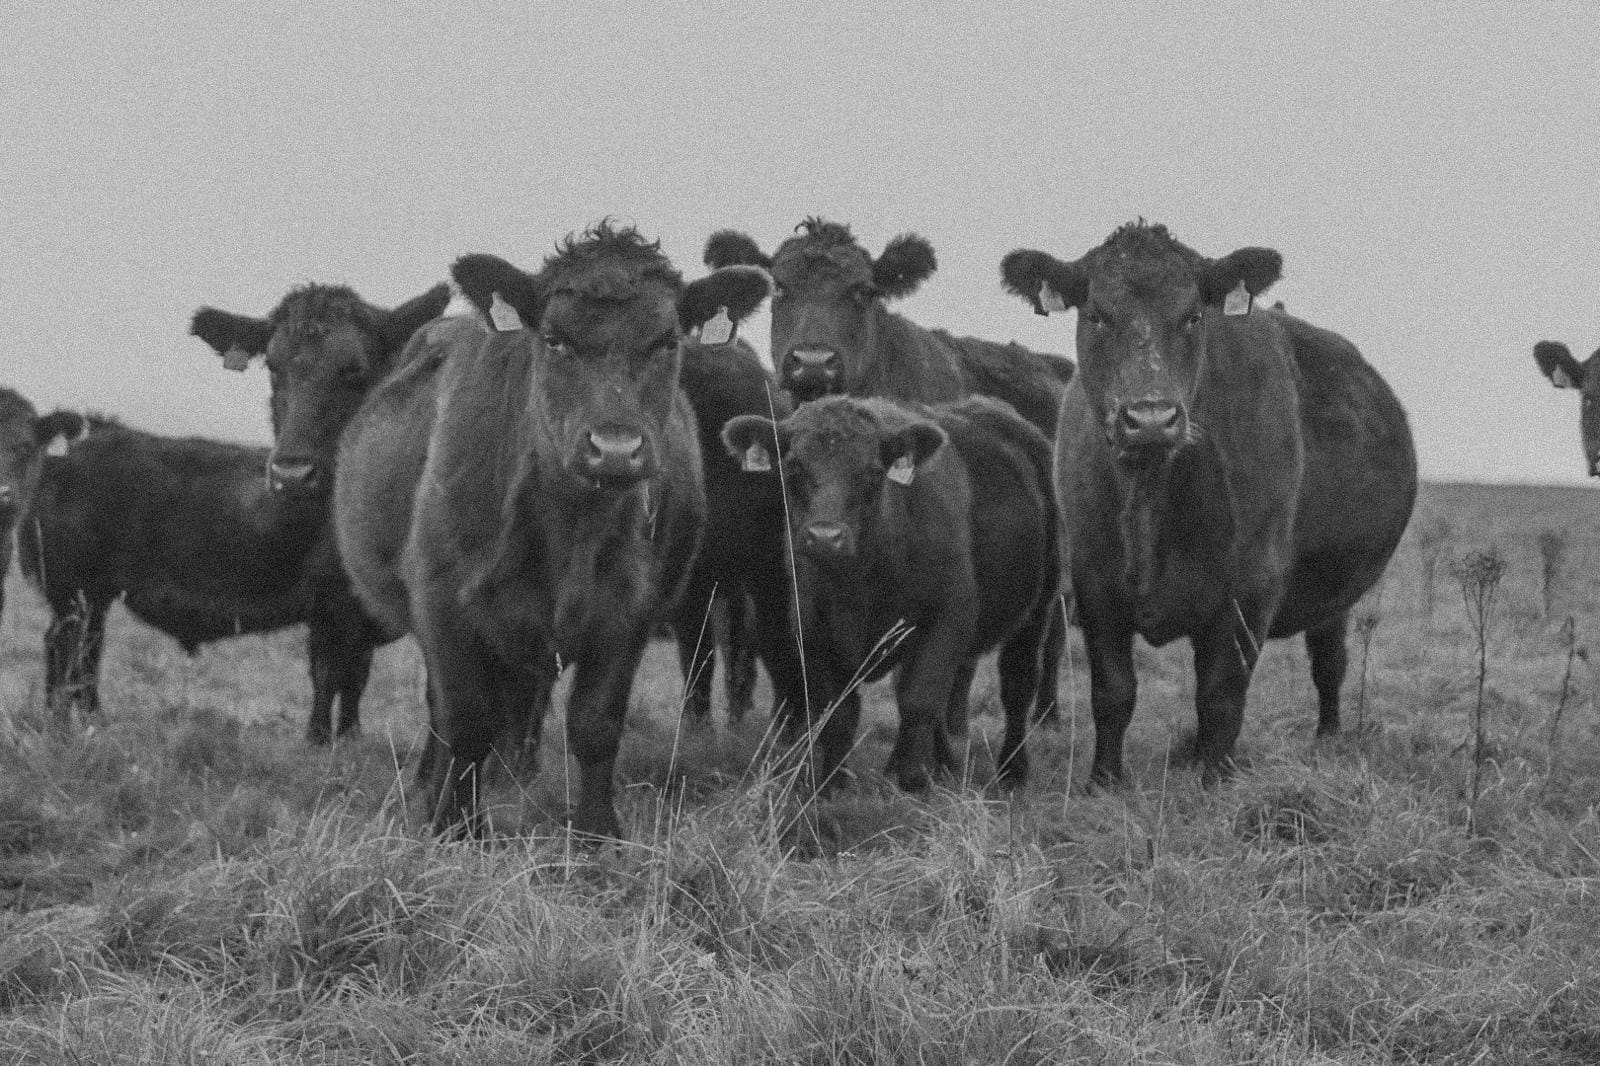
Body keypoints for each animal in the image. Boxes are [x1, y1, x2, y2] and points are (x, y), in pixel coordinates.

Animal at [19, 283, 447, 738]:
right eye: (273, 367)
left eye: (355, 369)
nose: (291, 474)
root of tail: (78, 440)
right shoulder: (333, 606)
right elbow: (330, 678)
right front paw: (319, 742)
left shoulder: (361, 617)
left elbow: (354, 683)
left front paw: (349, 738)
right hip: (72, 589)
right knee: (66, 651)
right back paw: (62, 725)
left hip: (91, 595)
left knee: (86, 654)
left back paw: (92, 723)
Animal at [334, 222, 771, 839]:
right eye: (556, 339)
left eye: (666, 341)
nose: (615, 448)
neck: (572, 530)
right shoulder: (443, 605)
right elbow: (465, 720)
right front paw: (454, 827)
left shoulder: (629, 614)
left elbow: (596, 723)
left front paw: (597, 832)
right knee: (447, 710)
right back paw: (431, 786)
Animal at [721, 394, 1057, 794]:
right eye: (793, 470)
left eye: (871, 472)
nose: (825, 537)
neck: (859, 585)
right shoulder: (812, 629)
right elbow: (839, 710)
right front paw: (832, 784)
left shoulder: (947, 617)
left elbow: (919, 700)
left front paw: (913, 780)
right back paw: (938, 763)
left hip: (1037, 611)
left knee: (1017, 687)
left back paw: (1011, 770)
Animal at [1000, 220, 1417, 786]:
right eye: (1097, 315)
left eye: (1194, 315)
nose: (1150, 418)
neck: (1151, 495)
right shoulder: (1095, 583)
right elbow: (1112, 692)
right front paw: (1104, 780)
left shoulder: (1249, 590)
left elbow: (1221, 694)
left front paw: (1214, 780)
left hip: (1336, 595)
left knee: (1329, 662)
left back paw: (1327, 737)